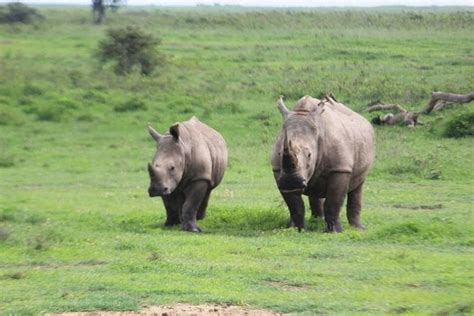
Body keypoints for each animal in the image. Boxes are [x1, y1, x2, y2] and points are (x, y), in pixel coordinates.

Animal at [272, 94, 376, 232]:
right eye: (279, 154)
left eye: (309, 155)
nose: (292, 181)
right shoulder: (279, 171)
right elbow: (295, 205)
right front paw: (298, 230)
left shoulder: (340, 168)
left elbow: (333, 201)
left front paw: (335, 231)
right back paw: (315, 222)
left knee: (358, 186)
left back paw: (358, 228)